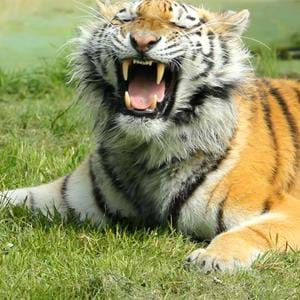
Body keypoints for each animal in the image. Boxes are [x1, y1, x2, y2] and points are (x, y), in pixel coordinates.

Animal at [0, 0, 300, 274]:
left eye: (178, 25)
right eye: (128, 19)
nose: (142, 41)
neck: (144, 149)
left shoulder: (286, 209)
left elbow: (248, 232)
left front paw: (211, 258)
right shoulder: (66, 196)